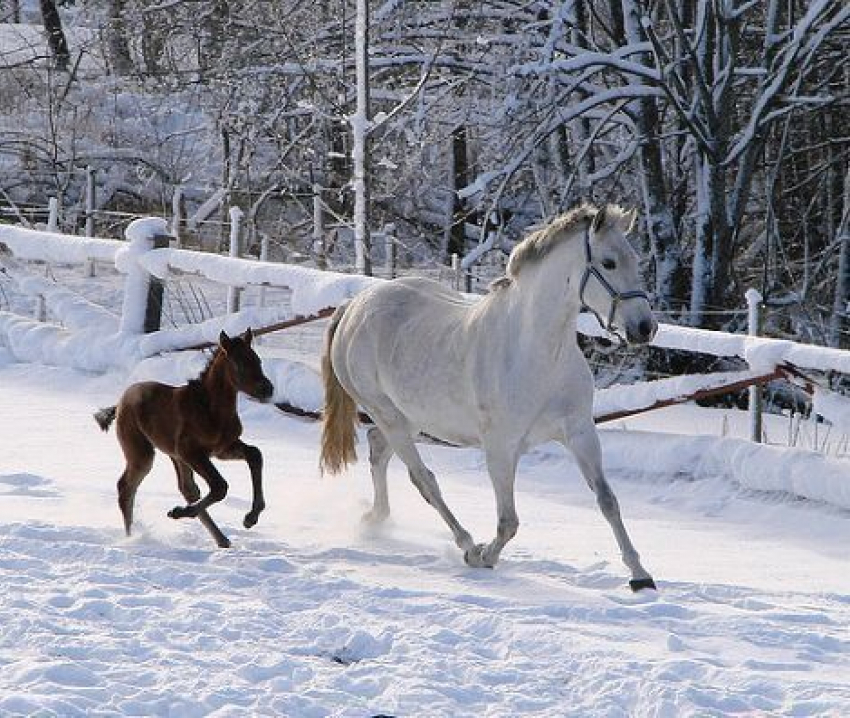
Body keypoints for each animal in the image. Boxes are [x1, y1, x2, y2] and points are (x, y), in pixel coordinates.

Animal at [318, 205, 656, 592]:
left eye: (635, 259)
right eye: (609, 262)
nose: (645, 328)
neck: (537, 353)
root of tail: (353, 306)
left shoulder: (580, 433)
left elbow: (607, 501)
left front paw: (640, 575)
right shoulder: (500, 448)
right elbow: (508, 521)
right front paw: (484, 557)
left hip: (411, 417)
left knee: (378, 448)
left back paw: (376, 517)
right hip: (388, 414)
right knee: (423, 478)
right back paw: (465, 544)